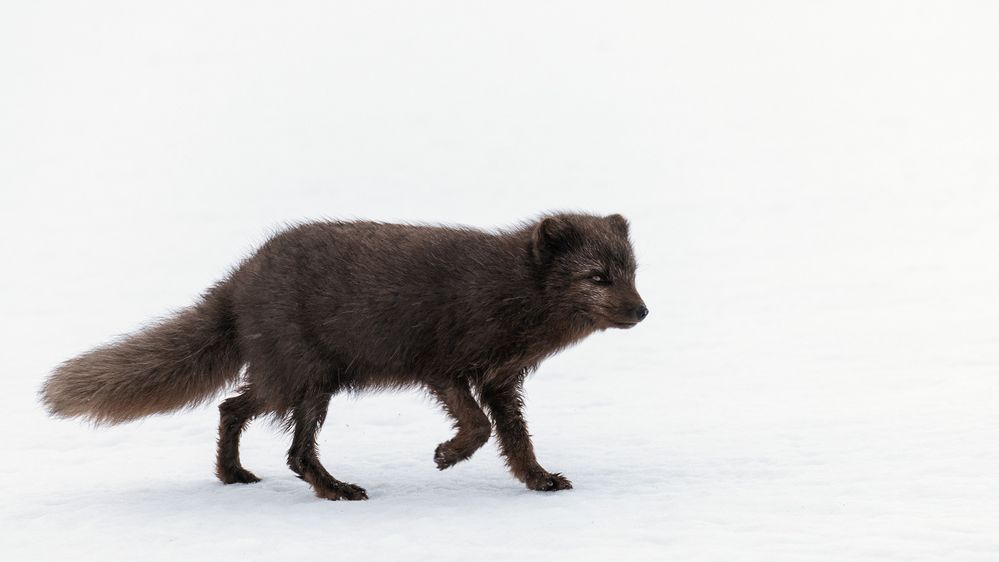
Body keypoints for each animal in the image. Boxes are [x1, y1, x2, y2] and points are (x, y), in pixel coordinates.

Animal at [41, 211, 648, 498]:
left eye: (632, 272)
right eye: (597, 277)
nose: (642, 311)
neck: (511, 290)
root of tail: (237, 279)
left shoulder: (502, 380)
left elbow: (516, 441)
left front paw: (540, 481)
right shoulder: (444, 367)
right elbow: (477, 427)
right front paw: (446, 456)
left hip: (286, 379)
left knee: (231, 408)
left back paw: (233, 475)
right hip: (308, 381)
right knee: (294, 452)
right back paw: (337, 491)